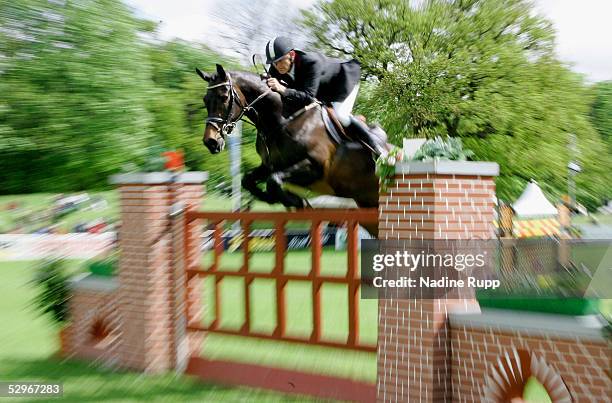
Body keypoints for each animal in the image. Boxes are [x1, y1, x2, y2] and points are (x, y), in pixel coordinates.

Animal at [196, 64, 388, 237]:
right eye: (205, 100)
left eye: (223, 97)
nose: (210, 142)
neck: (280, 121)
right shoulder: (269, 165)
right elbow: (249, 180)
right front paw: (274, 199)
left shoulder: (315, 166)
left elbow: (274, 181)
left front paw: (298, 202)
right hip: (368, 206)